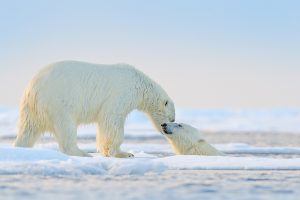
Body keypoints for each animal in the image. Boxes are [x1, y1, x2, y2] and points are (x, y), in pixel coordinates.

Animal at [12, 60, 175, 157]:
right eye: (171, 118)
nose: (165, 129)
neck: (139, 84)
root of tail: (32, 88)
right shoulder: (121, 94)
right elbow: (111, 119)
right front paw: (124, 153)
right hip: (58, 101)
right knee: (66, 127)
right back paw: (82, 153)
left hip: (32, 109)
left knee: (28, 130)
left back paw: (20, 147)